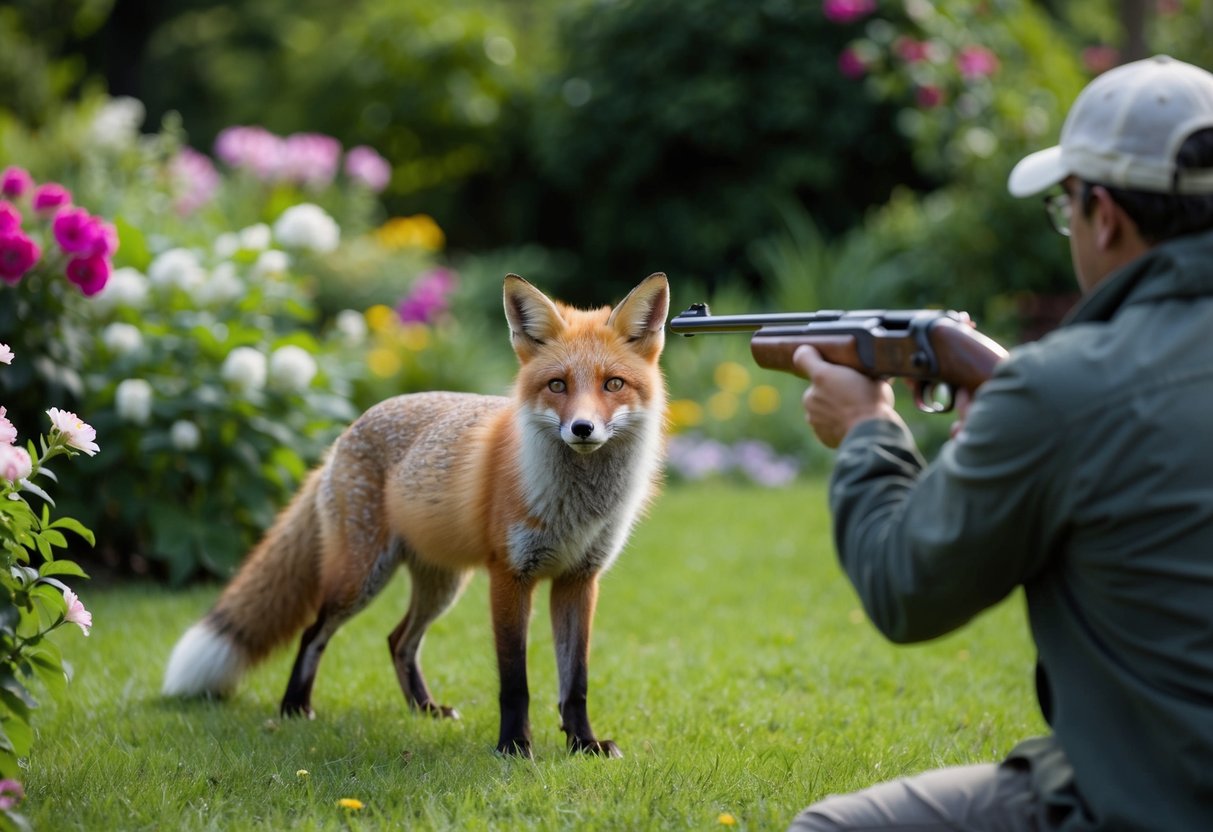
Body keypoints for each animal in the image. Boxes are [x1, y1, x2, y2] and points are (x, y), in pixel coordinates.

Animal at [162, 272, 670, 758]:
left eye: (613, 384)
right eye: (558, 385)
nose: (582, 428)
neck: (576, 508)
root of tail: (341, 437)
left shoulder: (578, 580)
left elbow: (575, 681)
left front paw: (583, 744)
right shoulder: (509, 576)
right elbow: (515, 682)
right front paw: (513, 747)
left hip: (441, 585)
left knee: (398, 639)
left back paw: (423, 708)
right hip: (360, 578)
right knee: (313, 631)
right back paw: (294, 707)